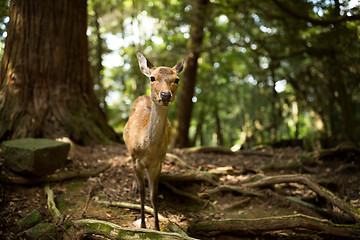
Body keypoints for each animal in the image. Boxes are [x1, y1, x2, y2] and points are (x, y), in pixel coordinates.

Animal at [124, 51, 186, 231]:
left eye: (177, 79)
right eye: (152, 78)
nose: (165, 95)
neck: (148, 149)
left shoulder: (158, 163)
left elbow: (153, 195)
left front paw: (157, 228)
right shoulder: (136, 159)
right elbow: (143, 193)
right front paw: (143, 224)